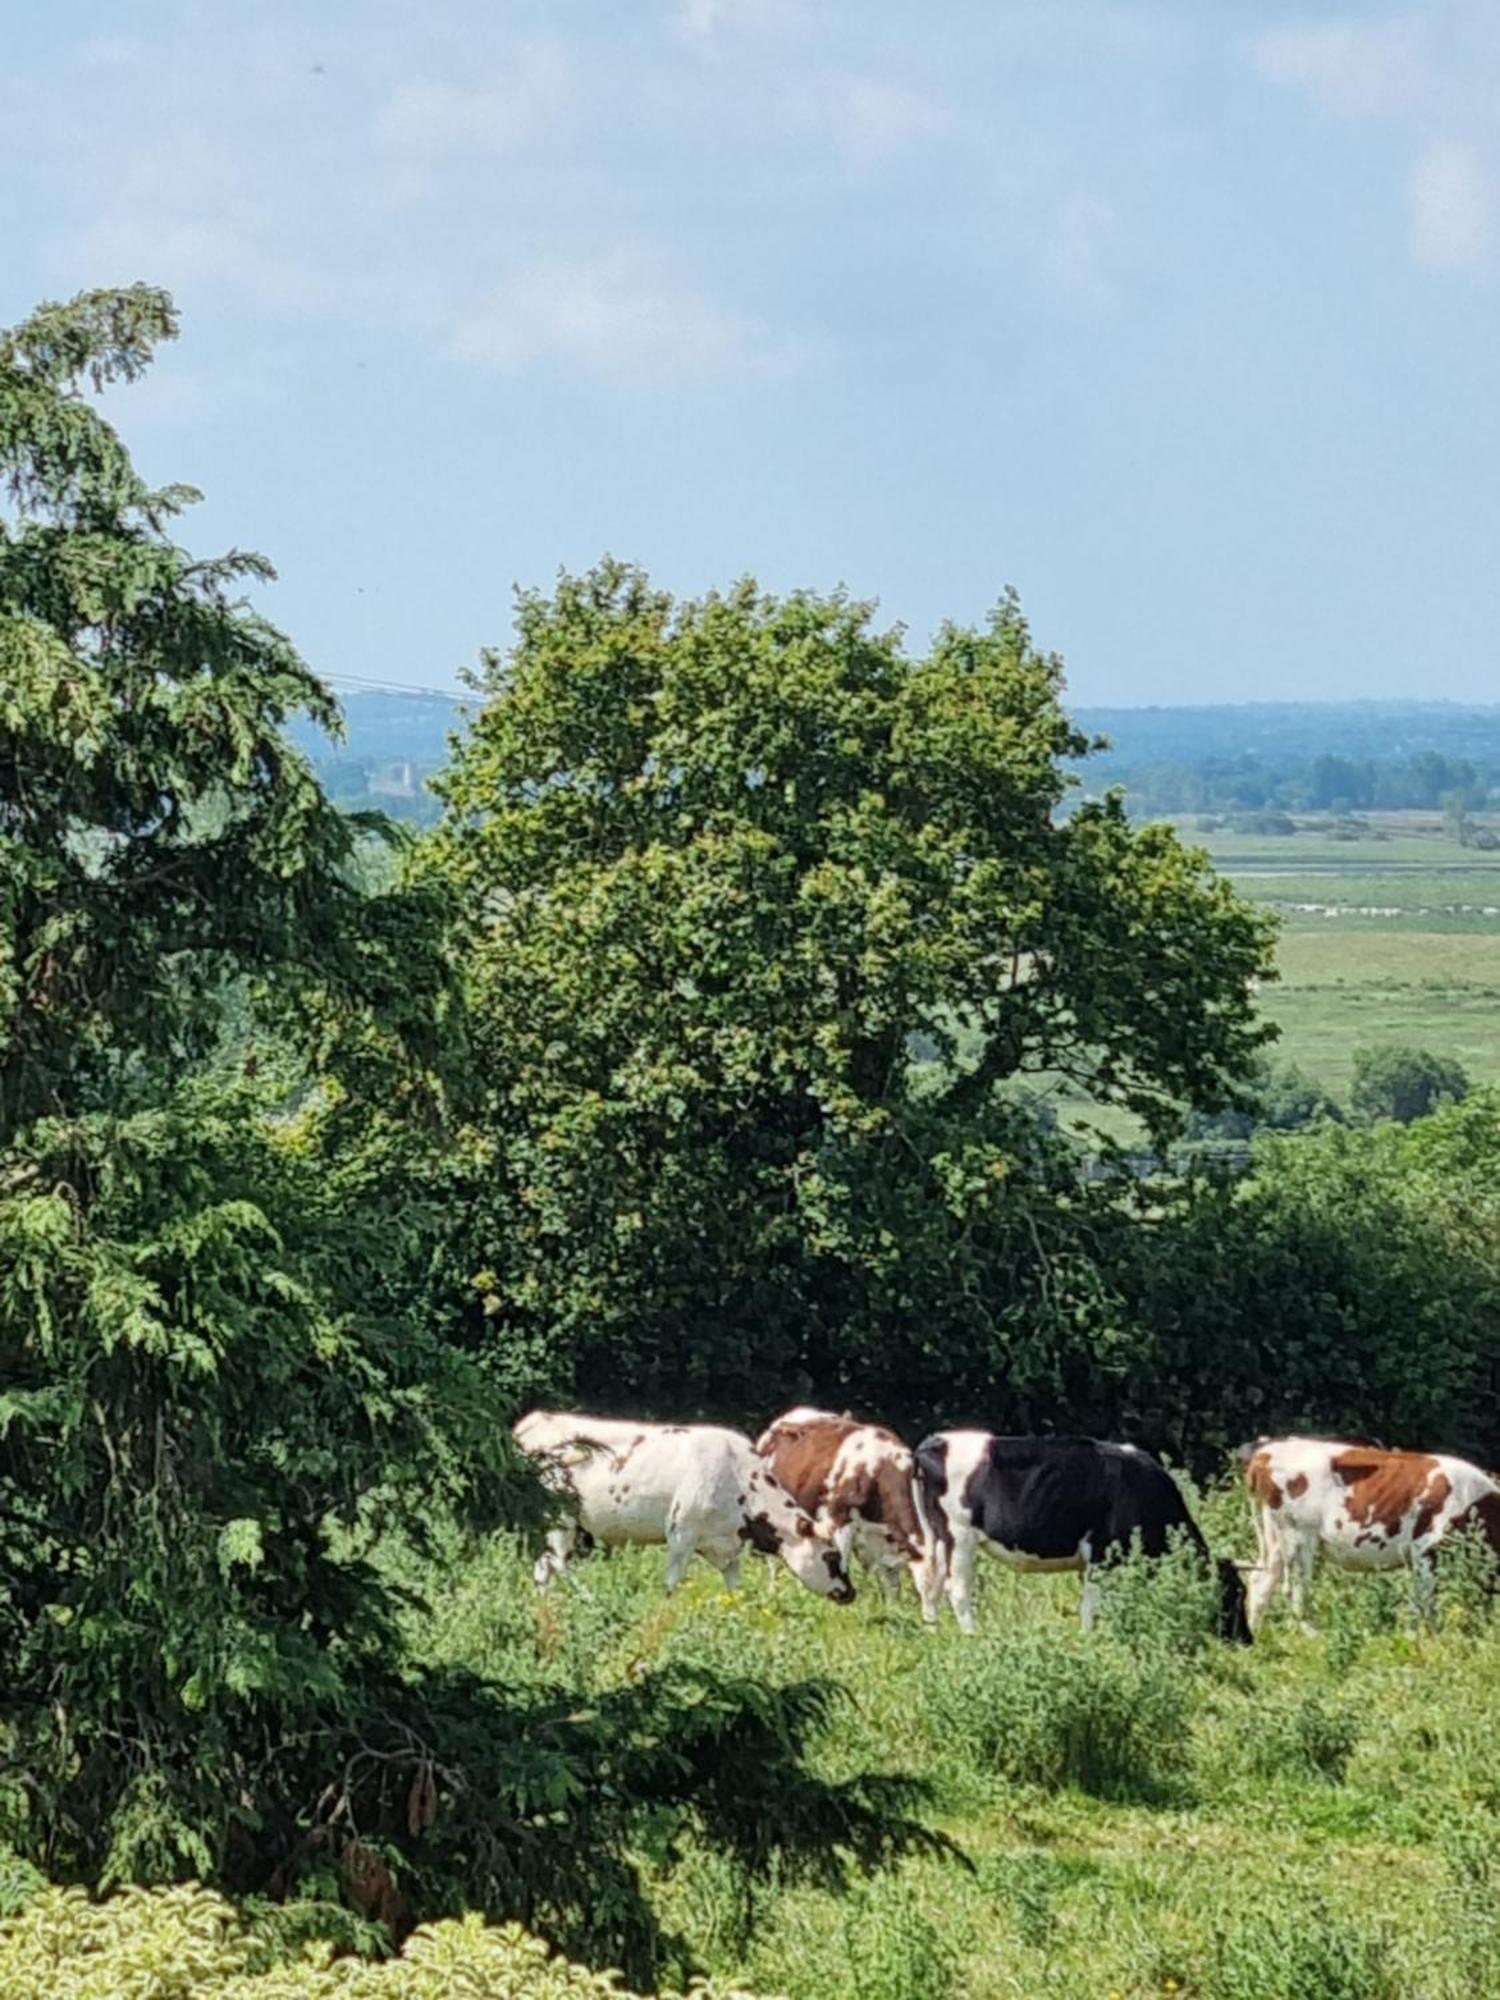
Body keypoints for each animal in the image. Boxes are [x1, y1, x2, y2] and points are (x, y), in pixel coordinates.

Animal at [516, 1416, 856, 1600]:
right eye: (831, 1556)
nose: (852, 1592)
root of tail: (531, 1423)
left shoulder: (725, 1545)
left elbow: (736, 1589)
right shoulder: (681, 1533)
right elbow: (671, 1584)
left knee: (543, 1567)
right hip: (560, 1516)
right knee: (557, 1562)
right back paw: (590, 1598)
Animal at [756, 1416, 936, 1600]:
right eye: (924, 1588)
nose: (929, 1610)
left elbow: (891, 1584)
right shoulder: (839, 1520)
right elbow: (841, 1561)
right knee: (773, 1561)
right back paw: (773, 1591)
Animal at [916, 1440, 1256, 1640]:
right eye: (1237, 1592)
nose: (1247, 1640)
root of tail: (933, 1443)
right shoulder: (1102, 1556)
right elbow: (1090, 1607)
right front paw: (1089, 1642)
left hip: (936, 1539)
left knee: (930, 1586)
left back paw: (932, 1634)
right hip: (959, 1537)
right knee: (957, 1591)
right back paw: (972, 1637)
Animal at [1240, 1432, 1500, 1632]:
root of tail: (1265, 1452)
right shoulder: (1426, 1550)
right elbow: (1425, 1603)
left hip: (1275, 1538)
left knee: (1261, 1582)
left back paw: (1256, 1637)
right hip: (1299, 1537)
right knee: (1298, 1592)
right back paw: (1311, 1637)